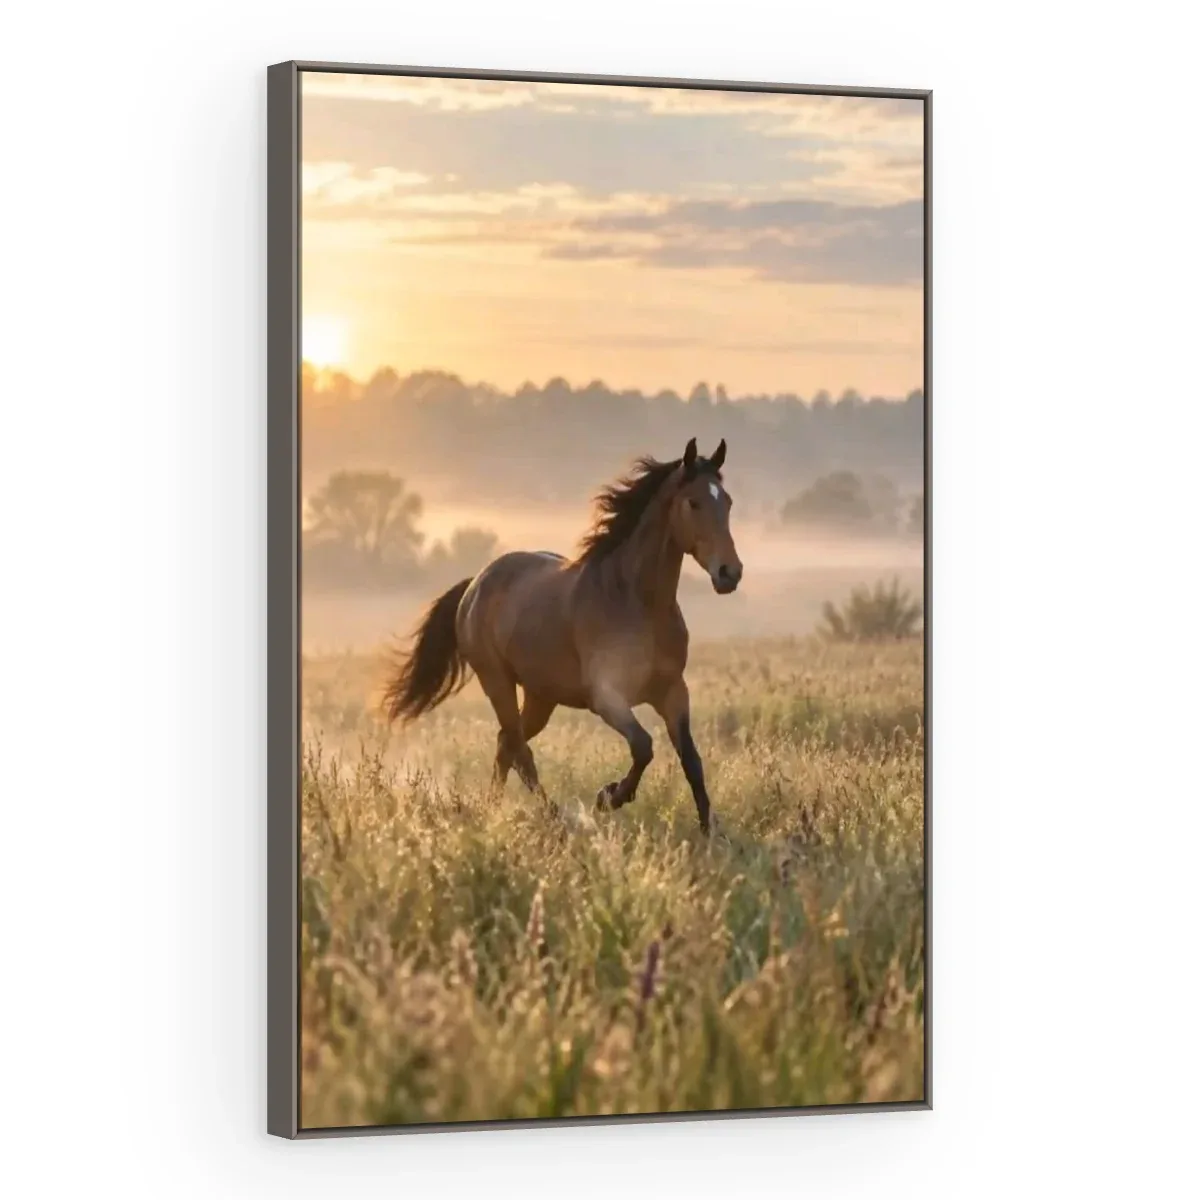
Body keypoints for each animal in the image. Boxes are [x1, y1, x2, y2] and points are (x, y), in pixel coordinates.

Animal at [382, 438, 742, 834]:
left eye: (727, 501)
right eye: (693, 502)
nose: (730, 572)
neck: (636, 603)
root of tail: (476, 583)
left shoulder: (673, 692)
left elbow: (691, 760)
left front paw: (710, 830)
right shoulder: (607, 697)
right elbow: (643, 746)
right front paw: (609, 797)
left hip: (541, 696)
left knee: (506, 744)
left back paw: (492, 810)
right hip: (497, 681)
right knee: (519, 750)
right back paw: (552, 815)